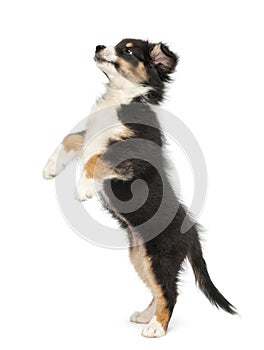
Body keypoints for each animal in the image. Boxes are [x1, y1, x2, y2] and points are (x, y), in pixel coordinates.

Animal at [43, 39, 237, 338]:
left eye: (128, 50)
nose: (99, 46)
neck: (121, 98)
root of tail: (192, 233)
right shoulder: (90, 135)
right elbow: (71, 138)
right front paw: (51, 166)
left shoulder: (131, 154)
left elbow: (95, 158)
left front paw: (83, 188)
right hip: (140, 256)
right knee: (159, 290)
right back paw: (147, 316)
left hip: (160, 256)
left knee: (170, 291)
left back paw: (156, 327)